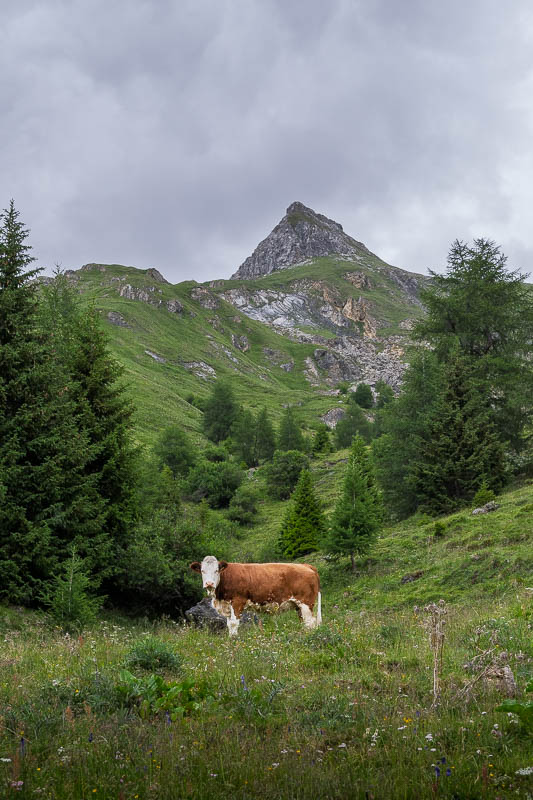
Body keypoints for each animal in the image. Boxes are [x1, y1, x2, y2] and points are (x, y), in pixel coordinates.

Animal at [190, 556, 322, 636]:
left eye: (216, 570)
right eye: (202, 571)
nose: (209, 583)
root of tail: (306, 565)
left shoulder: (237, 602)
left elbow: (234, 623)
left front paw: (234, 642)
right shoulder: (226, 606)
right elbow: (229, 625)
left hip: (306, 603)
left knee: (310, 623)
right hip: (299, 606)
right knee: (305, 622)